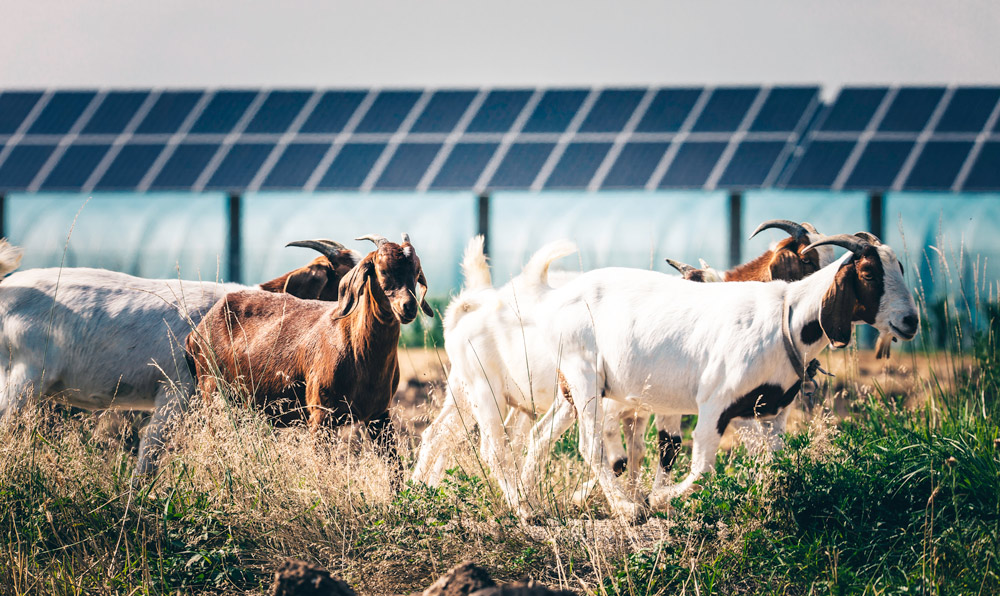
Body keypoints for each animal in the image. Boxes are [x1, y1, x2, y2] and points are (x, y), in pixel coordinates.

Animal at [186, 234, 433, 467]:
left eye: (416, 270)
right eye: (382, 270)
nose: (409, 307)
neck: (356, 347)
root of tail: (196, 333)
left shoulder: (379, 415)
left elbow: (395, 468)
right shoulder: (320, 415)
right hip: (213, 395)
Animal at [521, 233, 919, 519]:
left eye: (900, 267)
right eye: (868, 273)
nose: (910, 321)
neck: (786, 316)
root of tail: (554, 297)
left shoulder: (763, 412)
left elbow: (773, 464)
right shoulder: (715, 404)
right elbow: (701, 469)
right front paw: (658, 499)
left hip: (573, 388)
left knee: (540, 434)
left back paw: (527, 508)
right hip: (584, 375)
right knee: (590, 444)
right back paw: (626, 507)